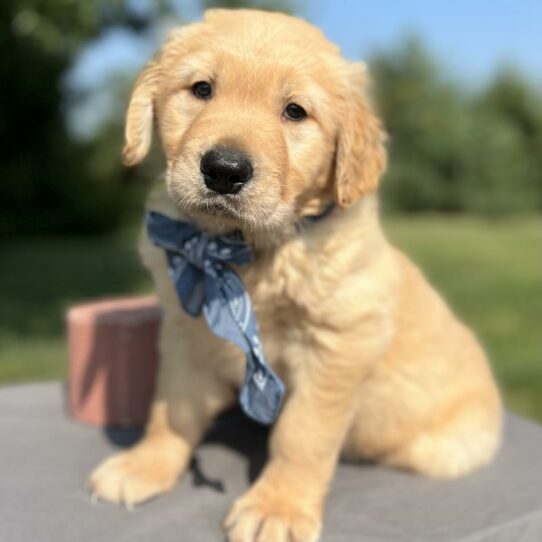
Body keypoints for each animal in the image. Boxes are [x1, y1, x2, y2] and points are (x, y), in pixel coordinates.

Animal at [90, 8, 506, 542]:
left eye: (294, 112)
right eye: (201, 89)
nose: (224, 169)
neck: (249, 248)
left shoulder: (338, 343)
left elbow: (301, 434)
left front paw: (278, 507)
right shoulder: (187, 329)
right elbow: (171, 406)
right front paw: (145, 465)